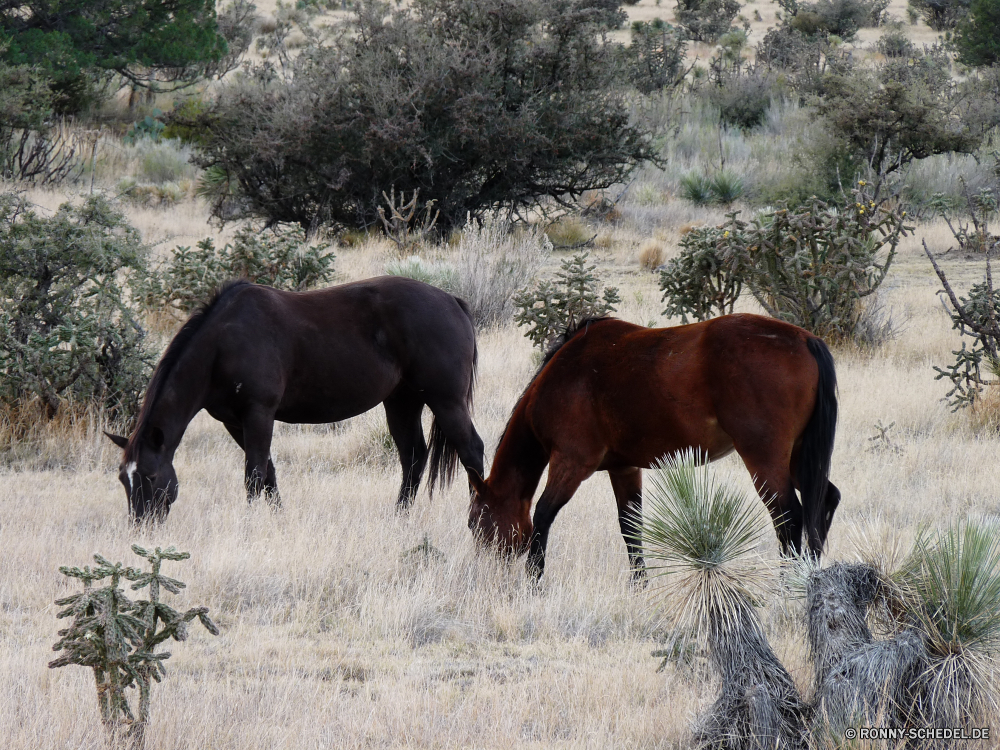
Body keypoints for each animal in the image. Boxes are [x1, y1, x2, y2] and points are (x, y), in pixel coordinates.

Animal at [108, 278, 484, 524]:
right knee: (413, 457)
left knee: (471, 450)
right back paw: (399, 517)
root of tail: (453, 301)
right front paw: (278, 518)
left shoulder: (259, 413)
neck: (224, 343)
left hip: (446, 401)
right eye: (124, 480)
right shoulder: (234, 421)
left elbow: (254, 473)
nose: (141, 526)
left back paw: (479, 518)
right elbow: (268, 472)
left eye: (150, 477)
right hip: (403, 402)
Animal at [464, 314, 840, 584]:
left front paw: (533, 579)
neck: (563, 379)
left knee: (788, 516)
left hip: (764, 459)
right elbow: (630, 527)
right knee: (823, 501)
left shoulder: (571, 464)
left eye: (475, 523)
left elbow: (543, 513)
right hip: (799, 460)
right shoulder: (624, 469)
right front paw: (640, 586)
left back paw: (787, 586)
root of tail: (806, 340)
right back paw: (810, 578)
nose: (482, 573)